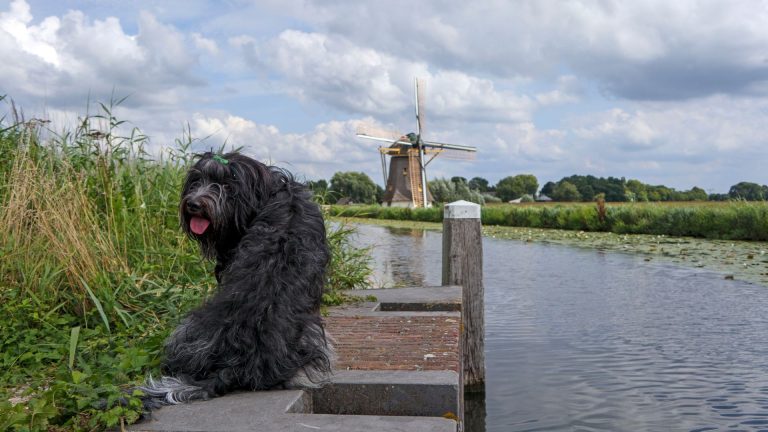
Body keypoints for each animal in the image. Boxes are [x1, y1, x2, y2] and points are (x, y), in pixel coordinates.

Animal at [140, 151, 332, 408]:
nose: (193, 204)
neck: (274, 193)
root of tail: (234, 361)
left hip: (186, 330)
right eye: (197, 180)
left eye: (227, 185)